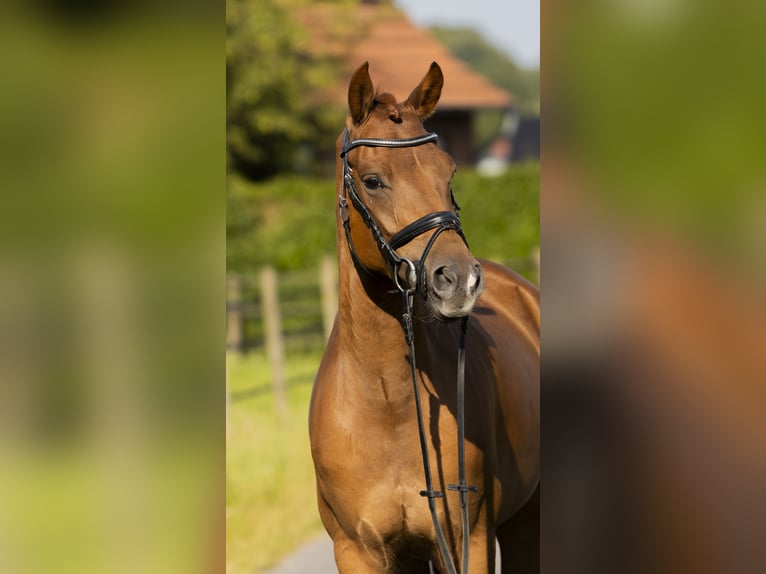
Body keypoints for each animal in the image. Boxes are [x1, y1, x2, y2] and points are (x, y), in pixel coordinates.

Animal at [310, 63, 540, 574]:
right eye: (373, 180)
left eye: (448, 171)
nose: (459, 279)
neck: (386, 402)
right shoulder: (360, 552)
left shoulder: (470, 538)